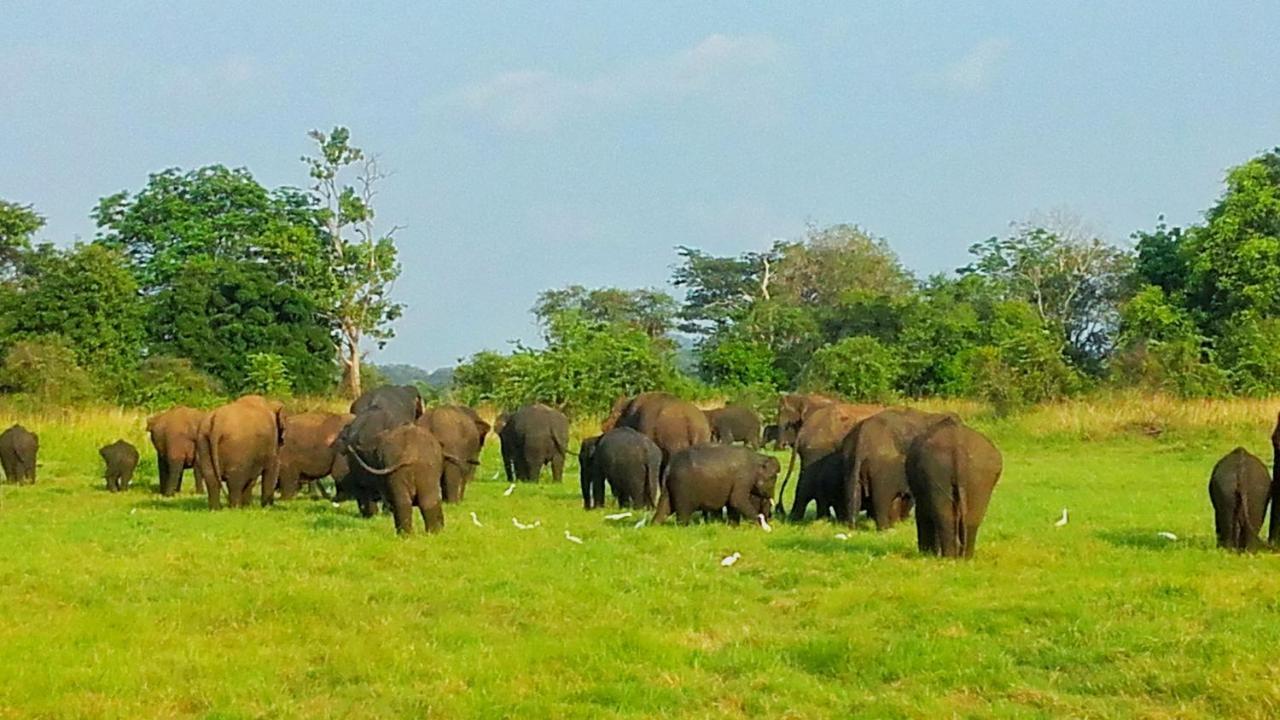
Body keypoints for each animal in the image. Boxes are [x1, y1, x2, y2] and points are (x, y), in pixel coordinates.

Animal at [650, 440, 778, 525]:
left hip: (669, 488)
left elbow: (732, 504)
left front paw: (733, 527)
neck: (758, 458)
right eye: (773, 477)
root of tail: (669, 467)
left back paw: (655, 525)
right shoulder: (743, 478)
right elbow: (736, 500)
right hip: (682, 489)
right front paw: (762, 525)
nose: (769, 519)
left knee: (664, 508)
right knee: (683, 513)